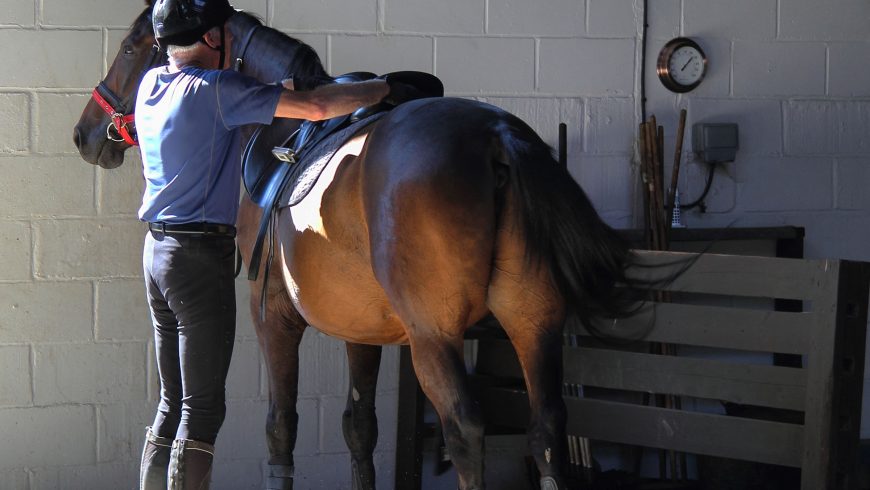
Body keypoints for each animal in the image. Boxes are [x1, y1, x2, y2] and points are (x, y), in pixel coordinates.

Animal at [74, 2, 657, 489]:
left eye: (131, 49)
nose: (86, 134)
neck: (283, 125)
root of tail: (496, 134)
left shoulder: (273, 318)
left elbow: (281, 427)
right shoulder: (362, 329)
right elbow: (360, 427)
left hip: (434, 338)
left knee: (466, 429)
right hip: (533, 324)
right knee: (547, 430)